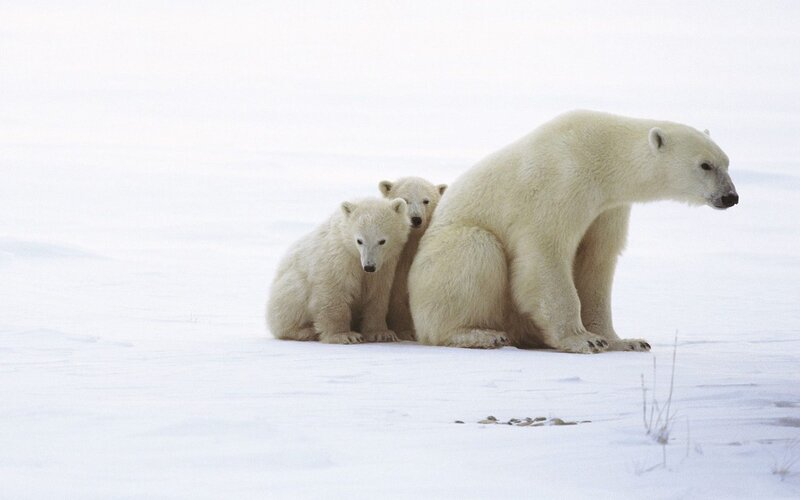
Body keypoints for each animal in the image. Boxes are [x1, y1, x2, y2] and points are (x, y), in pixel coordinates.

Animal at [267, 197, 410, 344]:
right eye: (359, 240)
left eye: (382, 241)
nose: (369, 266)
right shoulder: (338, 257)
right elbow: (334, 291)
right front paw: (345, 335)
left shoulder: (385, 266)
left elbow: (377, 295)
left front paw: (381, 334)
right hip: (290, 289)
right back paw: (306, 331)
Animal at [407, 110, 738, 354]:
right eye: (705, 165)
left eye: (726, 162)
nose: (730, 197)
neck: (601, 153)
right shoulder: (560, 184)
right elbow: (546, 254)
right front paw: (583, 339)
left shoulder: (607, 208)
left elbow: (597, 261)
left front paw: (625, 341)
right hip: (444, 255)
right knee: (475, 250)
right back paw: (480, 334)